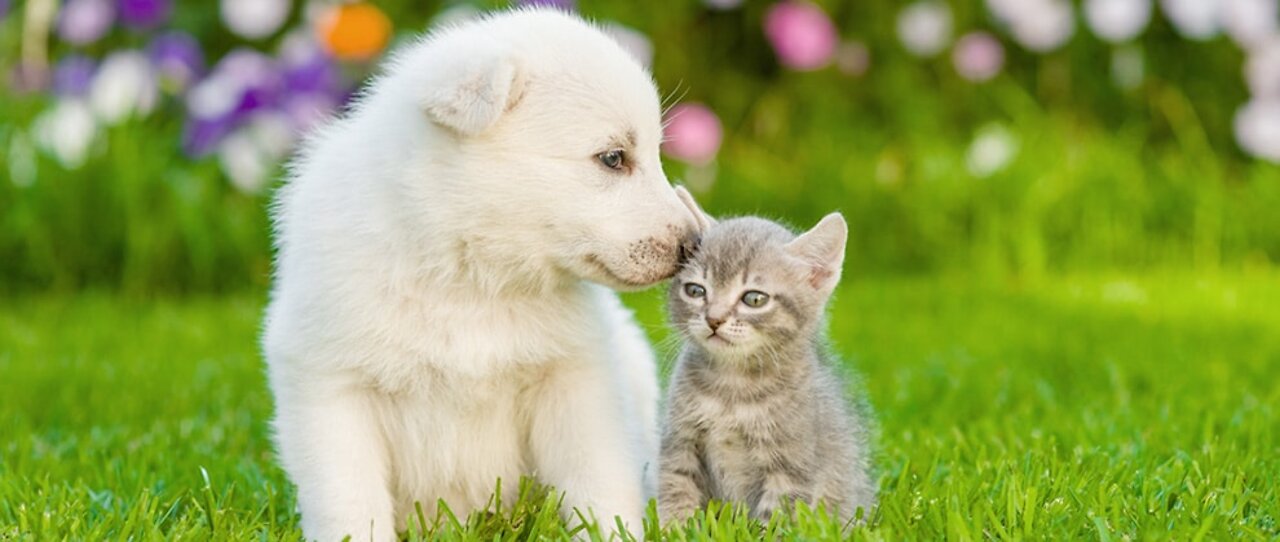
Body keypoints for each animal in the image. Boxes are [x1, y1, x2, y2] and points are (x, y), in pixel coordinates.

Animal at [262, 8, 701, 542]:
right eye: (613, 158)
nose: (693, 244)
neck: (470, 277)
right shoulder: (330, 386)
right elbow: (349, 499)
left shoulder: (575, 380)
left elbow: (598, 481)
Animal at [655, 194, 875, 525]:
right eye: (695, 290)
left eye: (754, 299)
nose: (714, 319)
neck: (731, 389)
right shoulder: (679, 445)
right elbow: (675, 492)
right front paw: (675, 529)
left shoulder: (790, 466)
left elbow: (775, 518)